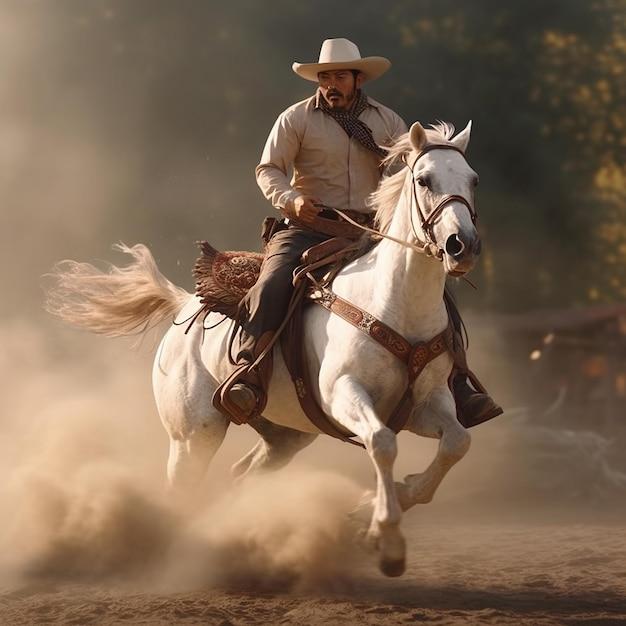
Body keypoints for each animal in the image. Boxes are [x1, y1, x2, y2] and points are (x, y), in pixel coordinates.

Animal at [47, 120, 478, 576]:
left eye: (473, 180)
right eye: (424, 179)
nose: (461, 245)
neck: (393, 301)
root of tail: (184, 304)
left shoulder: (425, 402)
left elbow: (456, 443)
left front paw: (374, 509)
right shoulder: (343, 394)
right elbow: (382, 443)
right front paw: (386, 535)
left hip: (285, 436)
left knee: (243, 473)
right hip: (192, 435)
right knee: (182, 487)